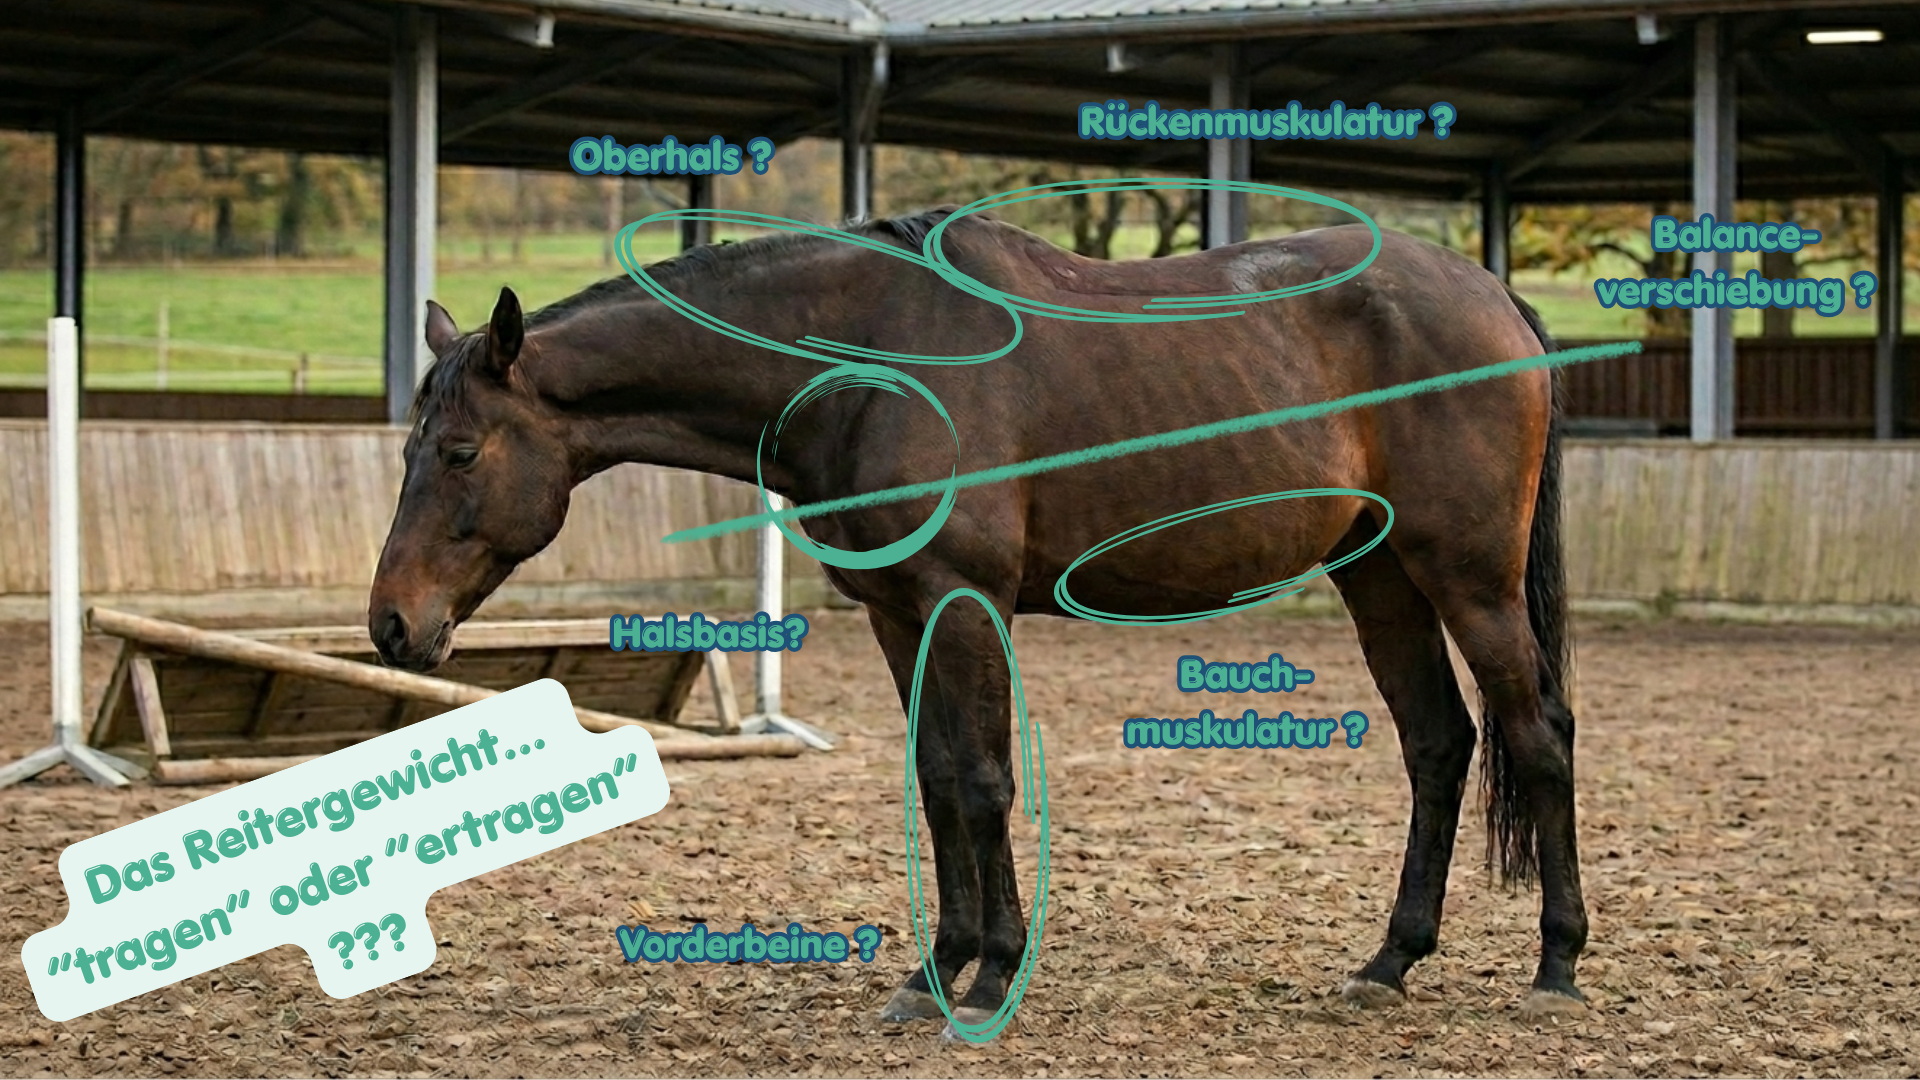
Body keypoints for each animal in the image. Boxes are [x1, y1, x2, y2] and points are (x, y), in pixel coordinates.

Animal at [367, 208, 1588, 1026]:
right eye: (408, 447)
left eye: (461, 451)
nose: (391, 626)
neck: (878, 359)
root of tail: (1491, 298)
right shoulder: (898, 616)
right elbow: (941, 778)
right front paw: (939, 971)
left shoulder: (963, 603)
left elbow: (989, 780)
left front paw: (995, 971)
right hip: (1380, 580)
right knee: (1439, 746)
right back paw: (1389, 962)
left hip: (1468, 581)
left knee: (1537, 738)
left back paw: (1556, 966)